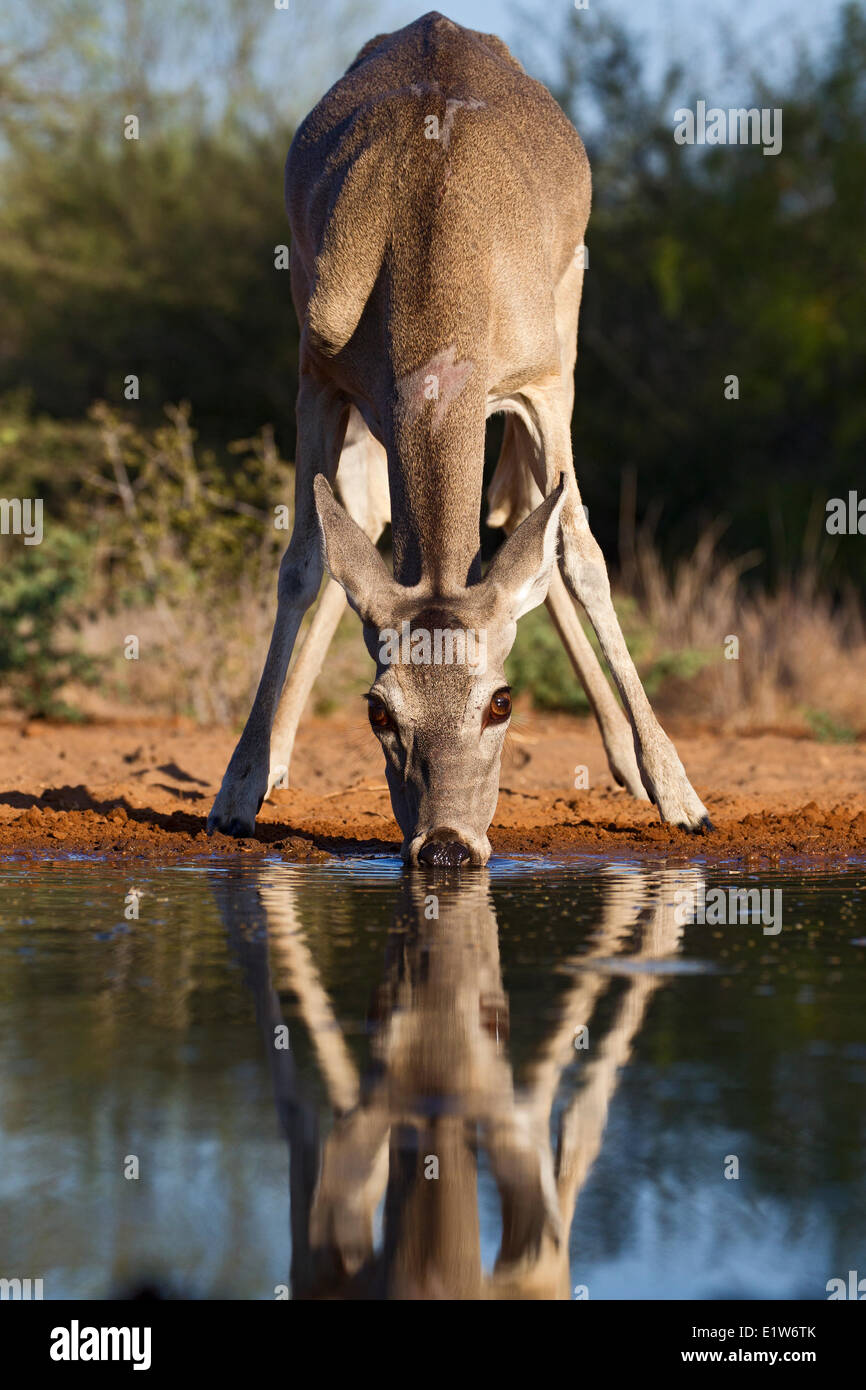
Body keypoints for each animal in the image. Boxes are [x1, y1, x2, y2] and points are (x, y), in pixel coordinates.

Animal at [207, 11, 711, 866]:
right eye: (378, 710)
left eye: (502, 702)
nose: (446, 845)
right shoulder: (319, 367)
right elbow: (305, 560)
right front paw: (239, 786)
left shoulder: (544, 379)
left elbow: (580, 553)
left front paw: (681, 795)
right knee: (378, 516)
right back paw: (275, 757)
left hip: (569, 306)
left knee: (521, 514)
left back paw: (628, 758)